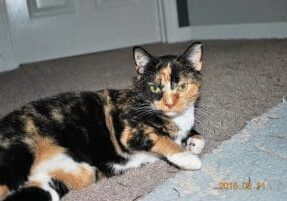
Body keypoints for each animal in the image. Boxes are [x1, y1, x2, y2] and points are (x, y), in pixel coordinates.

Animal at [1, 41, 206, 200]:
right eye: (155, 88)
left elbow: (198, 137)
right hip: (18, 152)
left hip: (51, 182)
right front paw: (187, 158)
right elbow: (158, 137)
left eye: (182, 86)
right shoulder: (130, 131)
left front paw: (193, 143)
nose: (170, 104)